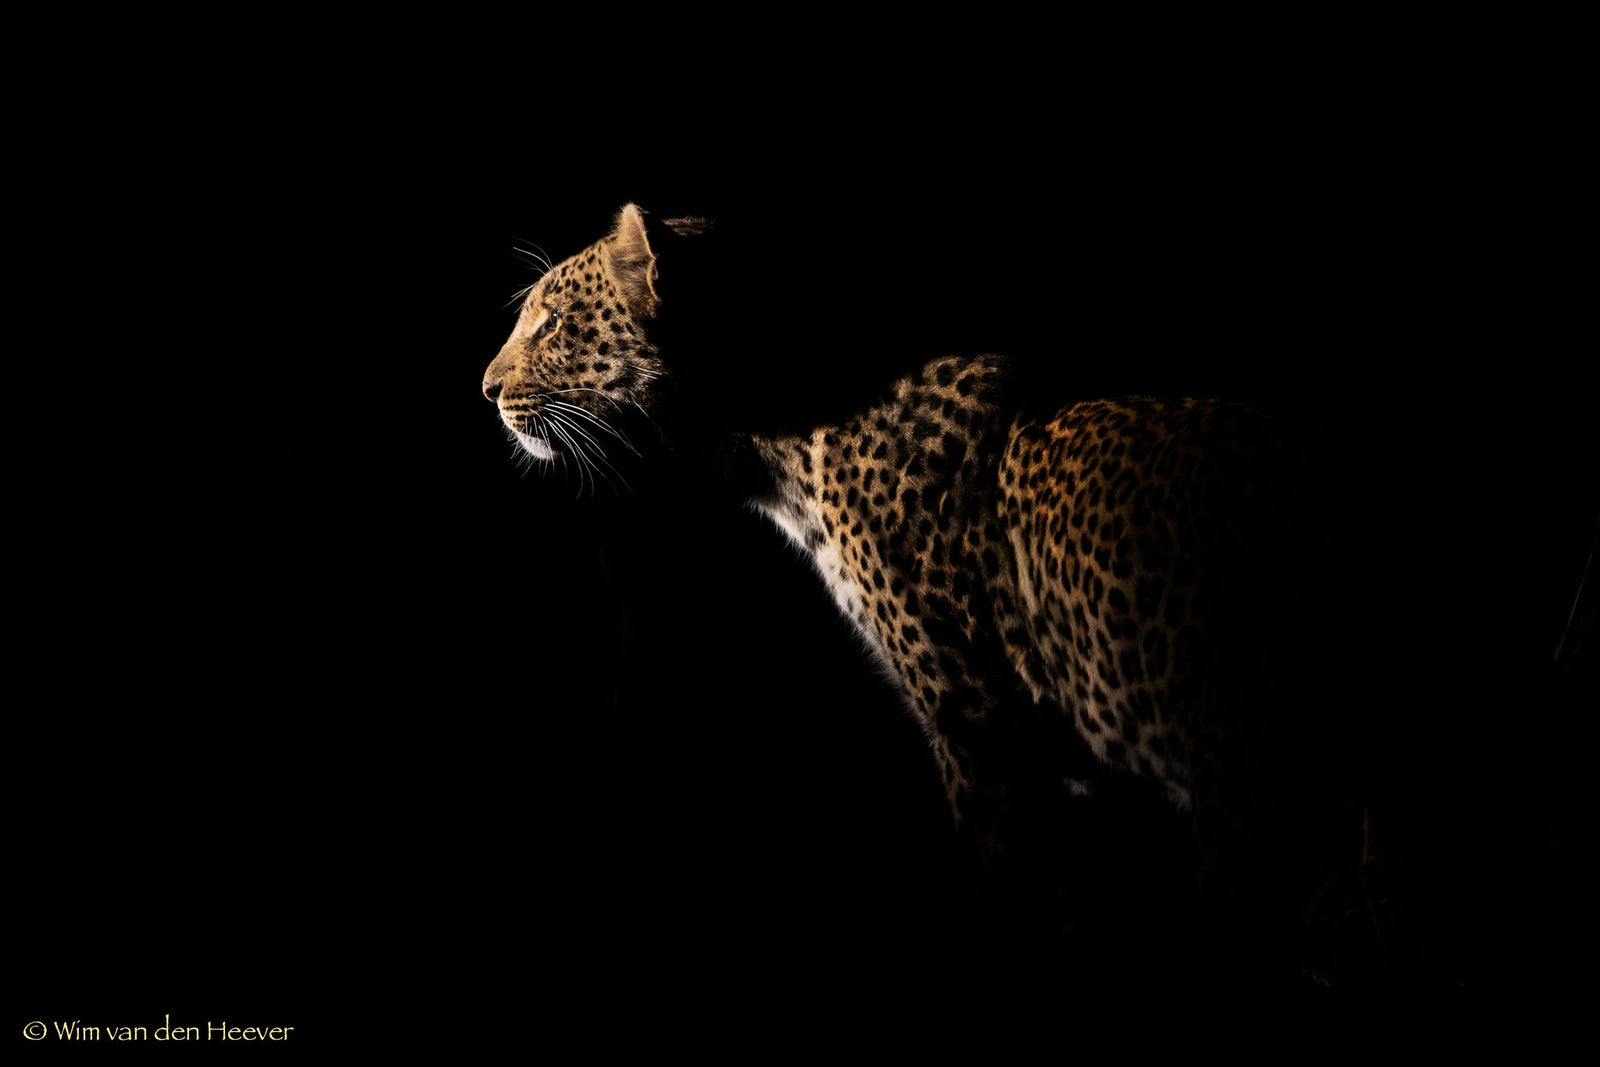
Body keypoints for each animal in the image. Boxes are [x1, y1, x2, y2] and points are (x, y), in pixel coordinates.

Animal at [482, 204, 1372, 970]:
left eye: (552, 321)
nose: (485, 389)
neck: (772, 440)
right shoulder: (1074, 770)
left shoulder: (977, 721)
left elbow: (1006, 892)